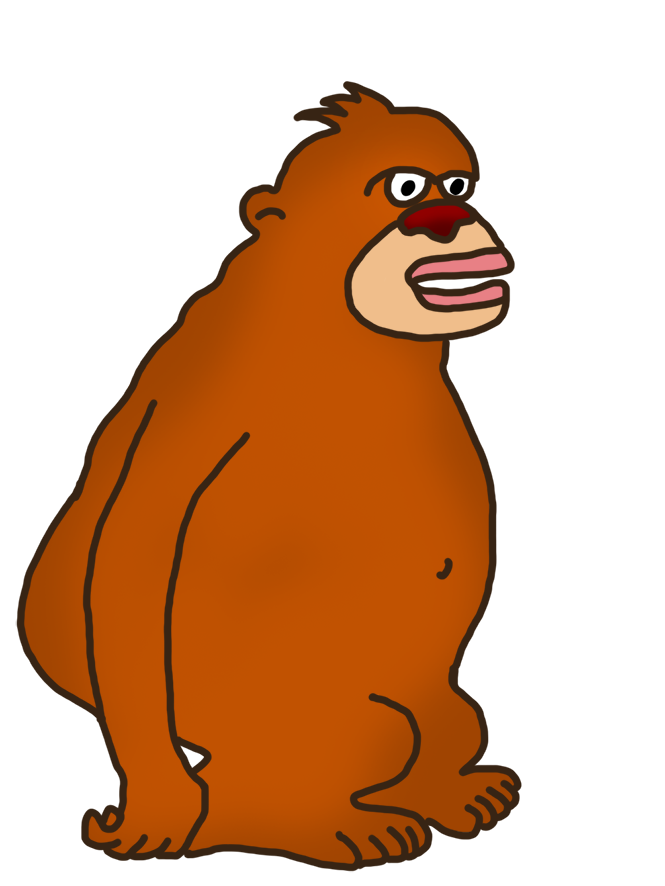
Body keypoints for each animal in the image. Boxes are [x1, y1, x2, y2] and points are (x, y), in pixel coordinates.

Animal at [24, 94, 514, 864]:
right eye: (404, 190)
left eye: (456, 185)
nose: (446, 218)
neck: (349, 333)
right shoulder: (206, 396)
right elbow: (136, 547)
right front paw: (162, 801)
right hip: (289, 708)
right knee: (315, 752)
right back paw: (314, 823)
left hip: (427, 696)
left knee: (444, 723)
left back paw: (438, 794)